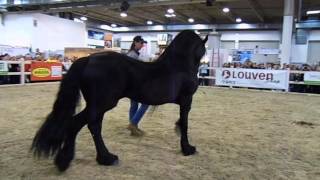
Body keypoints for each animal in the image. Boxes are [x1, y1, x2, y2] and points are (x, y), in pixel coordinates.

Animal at [31, 29, 208, 172]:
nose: (205, 62)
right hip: (102, 103)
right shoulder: (186, 100)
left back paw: (92, 158)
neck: (179, 65)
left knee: (89, 125)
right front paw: (187, 149)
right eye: (203, 49)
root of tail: (88, 60)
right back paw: (97, 159)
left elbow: (182, 122)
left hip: (97, 105)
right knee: (83, 124)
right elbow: (185, 123)